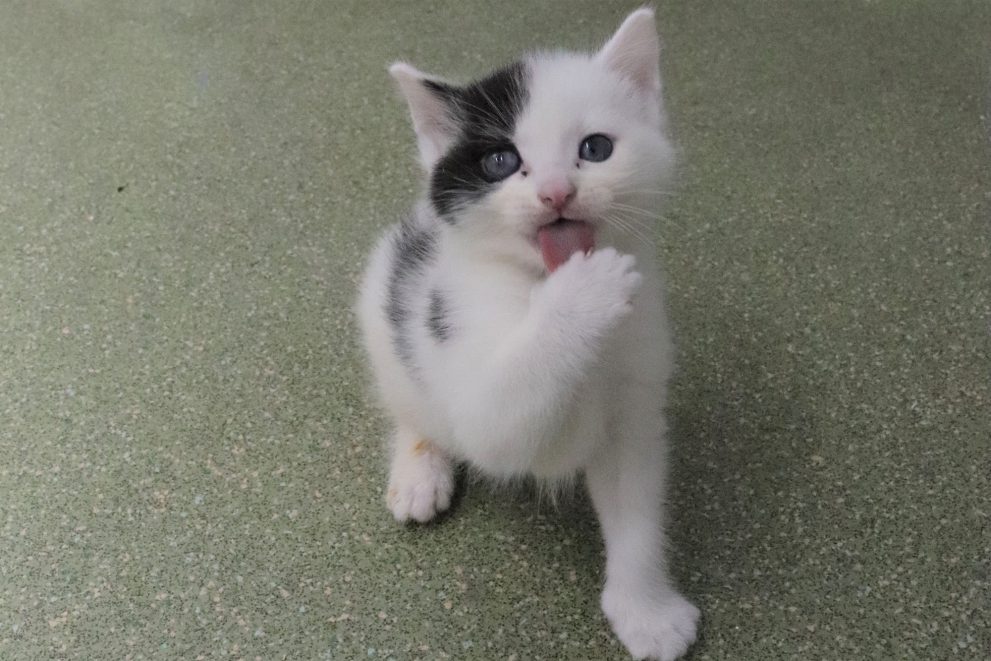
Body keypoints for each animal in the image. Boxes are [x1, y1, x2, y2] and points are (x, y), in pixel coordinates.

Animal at [356, 10, 696, 660]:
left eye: (596, 149)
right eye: (501, 163)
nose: (557, 192)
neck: (536, 277)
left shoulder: (635, 394)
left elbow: (635, 505)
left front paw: (645, 611)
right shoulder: (474, 368)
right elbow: (501, 420)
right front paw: (584, 293)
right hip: (384, 322)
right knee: (415, 406)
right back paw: (419, 471)